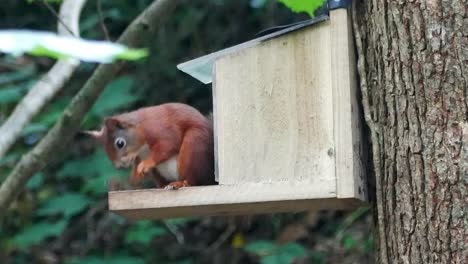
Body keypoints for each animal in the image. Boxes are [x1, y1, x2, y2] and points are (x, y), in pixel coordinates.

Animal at [84, 102, 216, 190]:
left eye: (120, 143)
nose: (119, 166)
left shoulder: (160, 129)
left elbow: (167, 144)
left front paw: (145, 164)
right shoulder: (138, 155)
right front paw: (135, 176)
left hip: (194, 146)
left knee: (194, 181)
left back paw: (181, 184)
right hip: (159, 173)